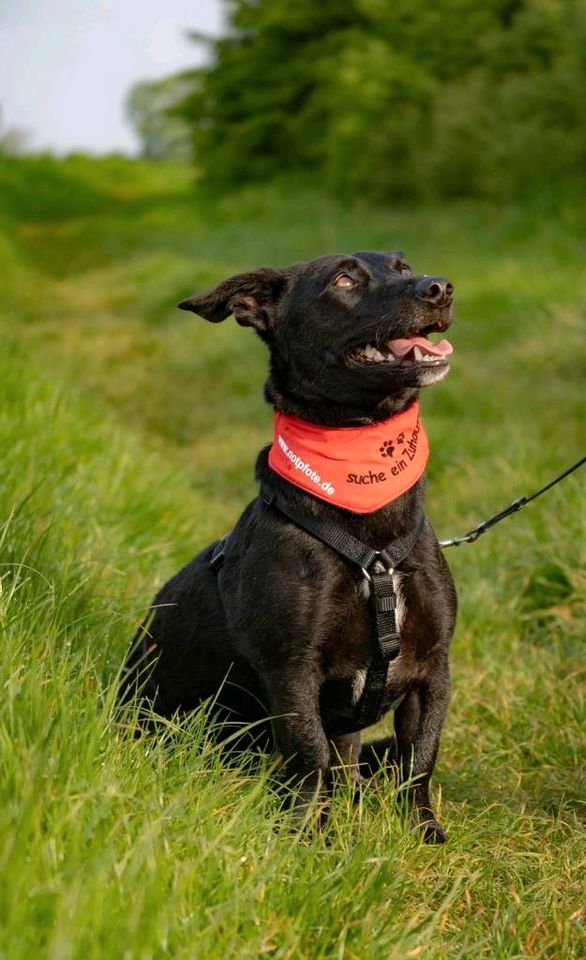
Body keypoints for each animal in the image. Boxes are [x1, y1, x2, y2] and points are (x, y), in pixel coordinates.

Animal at [120, 251, 456, 844]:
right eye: (343, 280)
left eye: (403, 265)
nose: (437, 288)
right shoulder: (291, 670)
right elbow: (309, 758)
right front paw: (309, 839)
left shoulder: (432, 668)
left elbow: (419, 761)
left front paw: (424, 835)